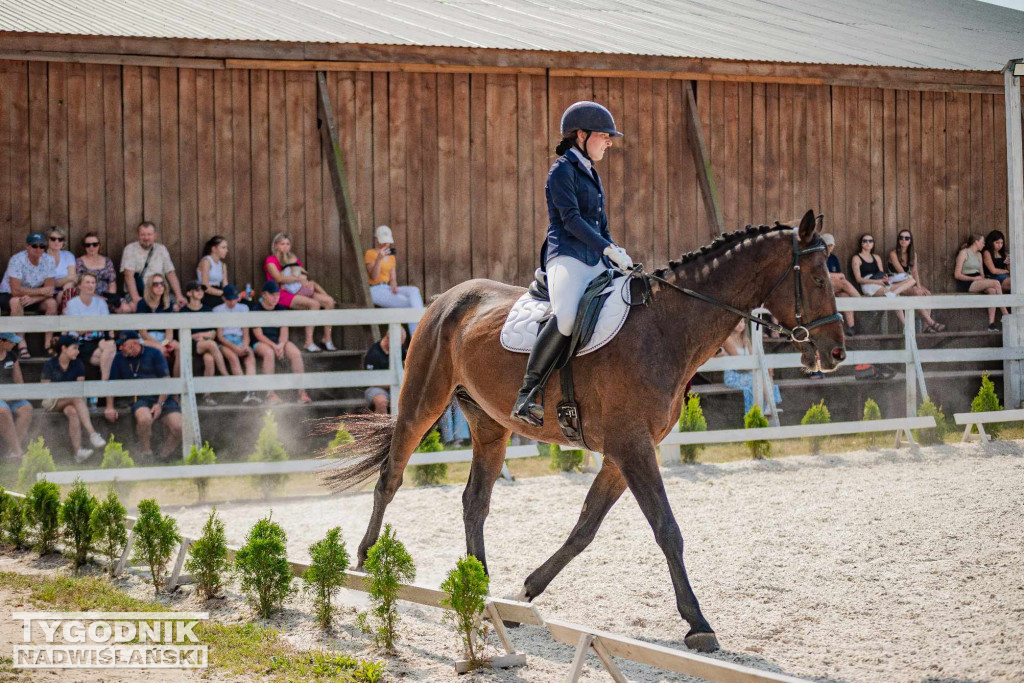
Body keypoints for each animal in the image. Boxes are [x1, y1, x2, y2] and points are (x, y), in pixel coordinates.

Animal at [323, 210, 843, 655]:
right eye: (818, 279)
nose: (835, 352)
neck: (665, 329)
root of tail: (449, 297)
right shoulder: (632, 448)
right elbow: (666, 529)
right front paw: (698, 624)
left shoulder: (621, 453)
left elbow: (584, 529)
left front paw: (525, 593)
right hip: (422, 401)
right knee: (391, 477)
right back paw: (365, 562)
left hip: (490, 424)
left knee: (475, 500)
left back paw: (480, 584)